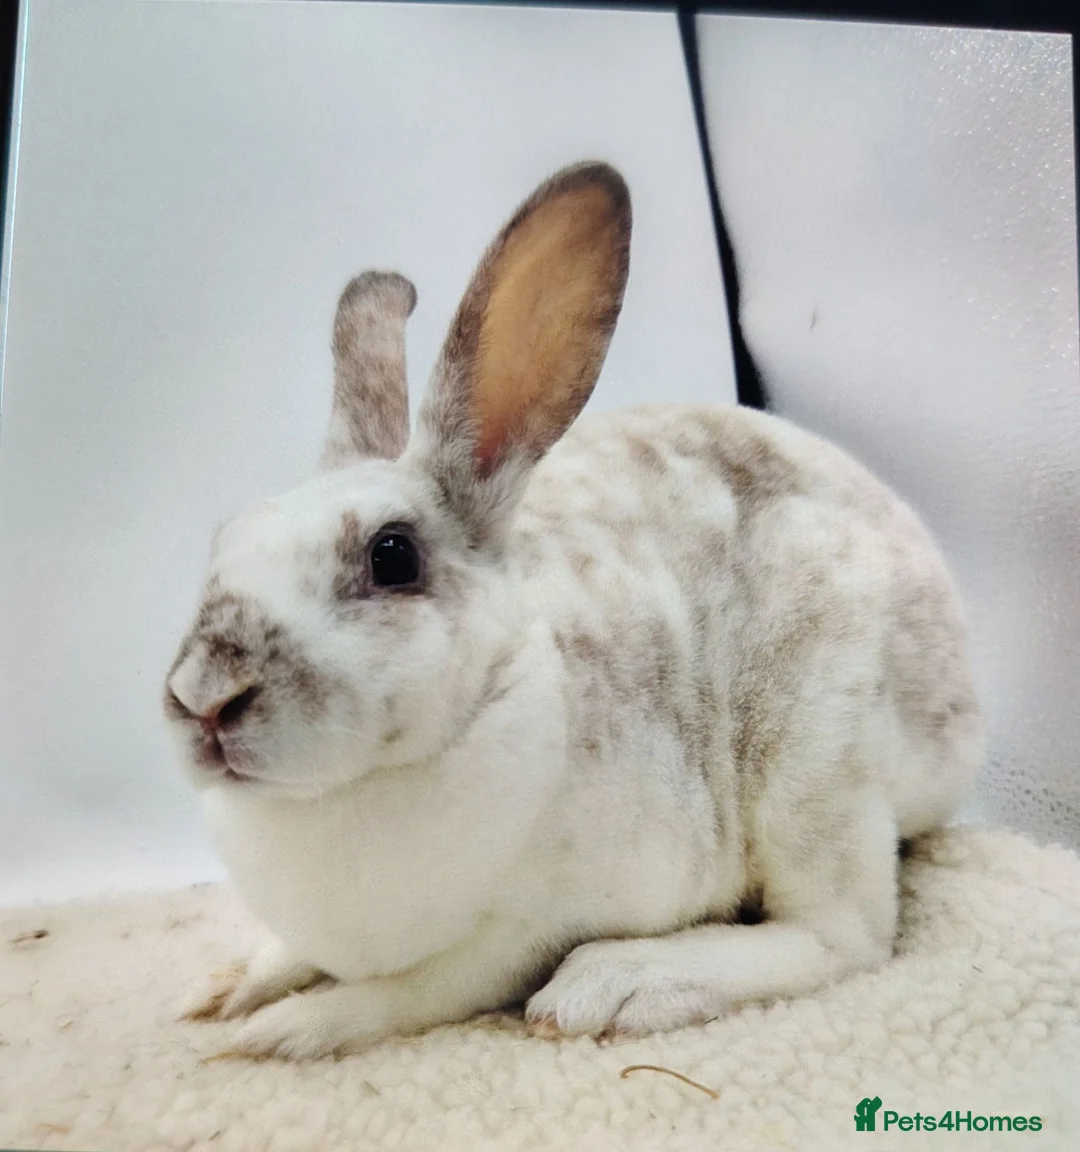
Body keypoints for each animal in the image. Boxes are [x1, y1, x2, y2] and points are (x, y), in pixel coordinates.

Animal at [164, 161, 982, 1060]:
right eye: (222, 540)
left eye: (392, 556)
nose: (204, 697)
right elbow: (292, 956)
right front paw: (226, 989)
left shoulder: (512, 936)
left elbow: (403, 996)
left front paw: (277, 1032)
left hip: (816, 764)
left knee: (845, 936)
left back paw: (621, 984)